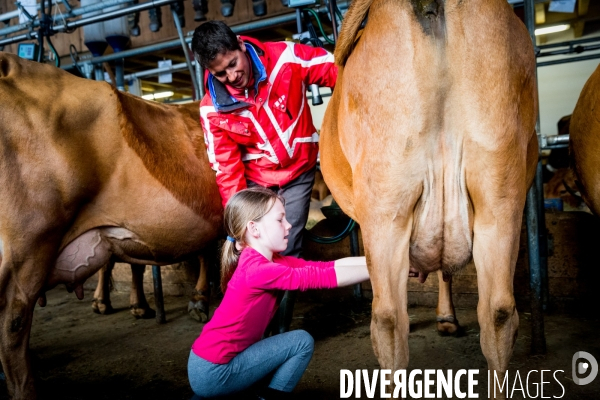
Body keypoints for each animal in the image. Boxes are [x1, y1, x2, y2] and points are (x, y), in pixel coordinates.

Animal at [324, 0, 540, 390]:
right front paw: (448, 318)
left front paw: (445, 318)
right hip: (499, 193)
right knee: (499, 313)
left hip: (385, 204)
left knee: (388, 320)